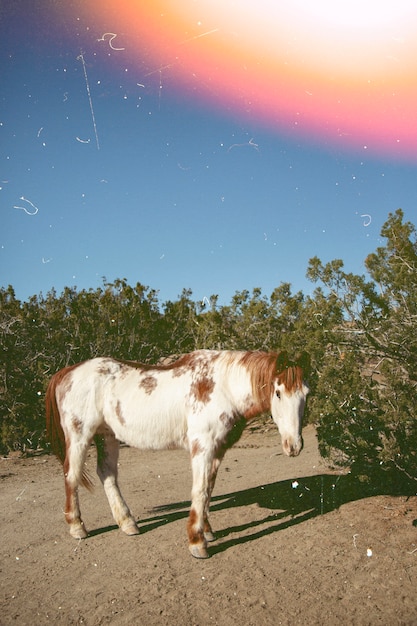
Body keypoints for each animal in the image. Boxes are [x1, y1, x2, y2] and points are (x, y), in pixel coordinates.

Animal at [46, 348, 308, 560]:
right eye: (278, 393)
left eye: (306, 393)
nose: (294, 446)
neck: (222, 387)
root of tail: (67, 372)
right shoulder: (203, 448)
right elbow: (200, 491)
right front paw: (197, 543)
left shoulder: (217, 451)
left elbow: (208, 490)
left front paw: (207, 532)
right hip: (80, 436)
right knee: (72, 476)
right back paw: (77, 527)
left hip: (107, 436)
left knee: (107, 474)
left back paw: (128, 523)